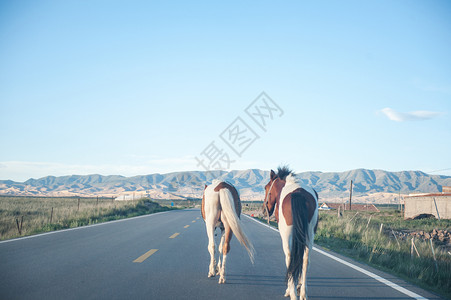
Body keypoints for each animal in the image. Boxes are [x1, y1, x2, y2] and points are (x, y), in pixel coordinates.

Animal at [264, 166, 320, 300]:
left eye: (266, 188)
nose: (264, 209)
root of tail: (298, 193)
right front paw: (299, 286)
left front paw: (291, 289)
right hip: (310, 234)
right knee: (305, 259)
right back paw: (303, 293)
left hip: (287, 235)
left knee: (290, 257)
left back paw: (292, 292)